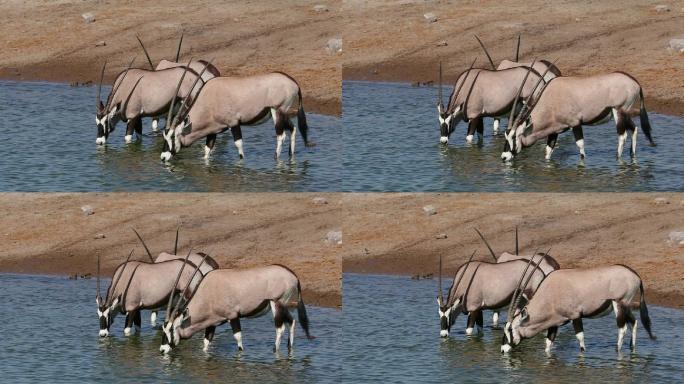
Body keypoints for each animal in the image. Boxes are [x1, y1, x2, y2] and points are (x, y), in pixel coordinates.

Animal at [160, 70, 312, 161]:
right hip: (283, 112)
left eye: (173, 136)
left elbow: (238, 145)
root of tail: (293, 82)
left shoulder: (233, 123)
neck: (209, 100)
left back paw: (276, 158)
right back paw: (291, 156)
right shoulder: (213, 130)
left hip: (277, 111)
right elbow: (207, 149)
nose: (163, 157)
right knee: (293, 129)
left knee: (281, 135)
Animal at [160, 264, 312, 354]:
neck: (208, 292)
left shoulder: (232, 316)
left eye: (172, 329)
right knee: (292, 322)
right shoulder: (213, 322)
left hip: (276, 303)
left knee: (280, 328)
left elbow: (238, 338)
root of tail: (293, 275)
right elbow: (206, 342)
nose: (162, 350)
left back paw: (275, 350)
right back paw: (289, 348)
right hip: (284, 306)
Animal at [502, 71, 656, 161]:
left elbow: (580, 145)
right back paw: (632, 155)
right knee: (634, 129)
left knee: (622, 136)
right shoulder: (555, 129)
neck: (551, 99)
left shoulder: (575, 123)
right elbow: (548, 150)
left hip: (618, 111)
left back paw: (618, 158)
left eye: (514, 137)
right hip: (625, 113)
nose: (504, 157)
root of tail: (635, 82)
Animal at [502, 264, 656, 354]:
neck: (550, 293)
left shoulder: (575, 316)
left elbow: (580, 338)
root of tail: (635, 275)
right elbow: (548, 342)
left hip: (618, 303)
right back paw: (632, 348)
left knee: (622, 328)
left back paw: (617, 351)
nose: (502, 350)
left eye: (510, 329)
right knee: (634, 323)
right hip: (626, 306)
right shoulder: (555, 322)